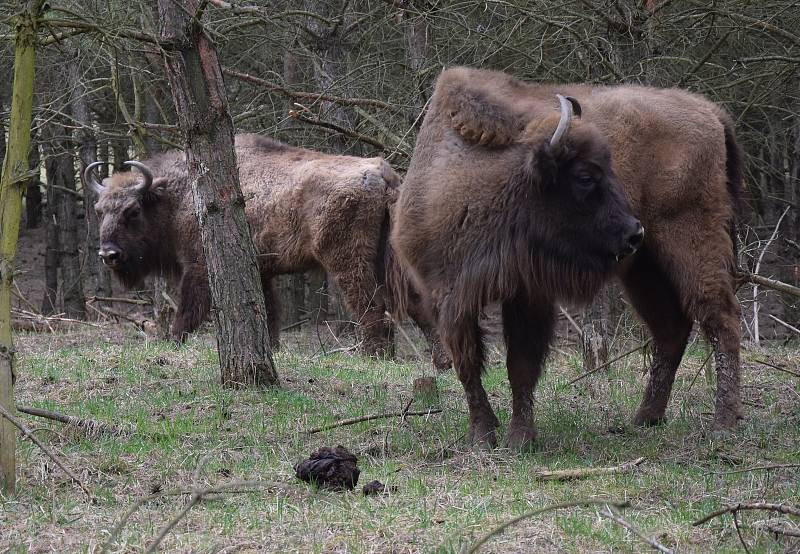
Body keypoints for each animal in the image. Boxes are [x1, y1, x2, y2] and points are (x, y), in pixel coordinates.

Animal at [86, 130, 450, 362]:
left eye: (132, 211)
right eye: (99, 210)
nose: (108, 254)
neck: (177, 195)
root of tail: (383, 174)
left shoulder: (199, 268)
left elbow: (188, 310)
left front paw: (172, 342)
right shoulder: (261, 271)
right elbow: (269, 313)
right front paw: (272, 349)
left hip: (348, 261)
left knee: (372, 306)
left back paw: (375, 357)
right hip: (393, 256)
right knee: (417, 303)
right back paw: (442, 362)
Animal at [392, 68, 744, 448]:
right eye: (585, 176)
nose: (634, 232)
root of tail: (710, 111)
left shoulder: (527, 295)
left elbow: (520, 365)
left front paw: (520, 437)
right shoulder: (447, 296)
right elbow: (467, 364)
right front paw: (483, 434)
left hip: (690, 240)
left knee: (720, 318)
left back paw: (723, 424)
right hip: (645, 269)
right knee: (671, 329)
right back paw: (646, 418)